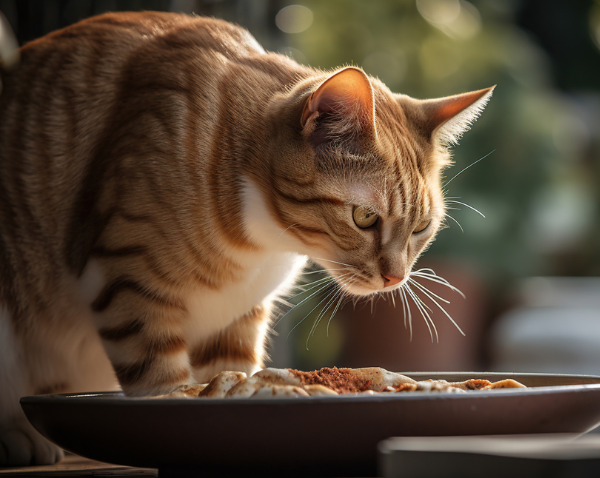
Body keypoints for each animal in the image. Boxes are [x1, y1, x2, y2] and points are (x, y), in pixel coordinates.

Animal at [0, 11, 492, 466]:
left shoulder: (237, 318)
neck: (264, 244)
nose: (395, 278)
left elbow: (232, 375)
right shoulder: (126, 277)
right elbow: (163, 384)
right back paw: (20, 438)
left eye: (421, 228)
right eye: (365, 217)